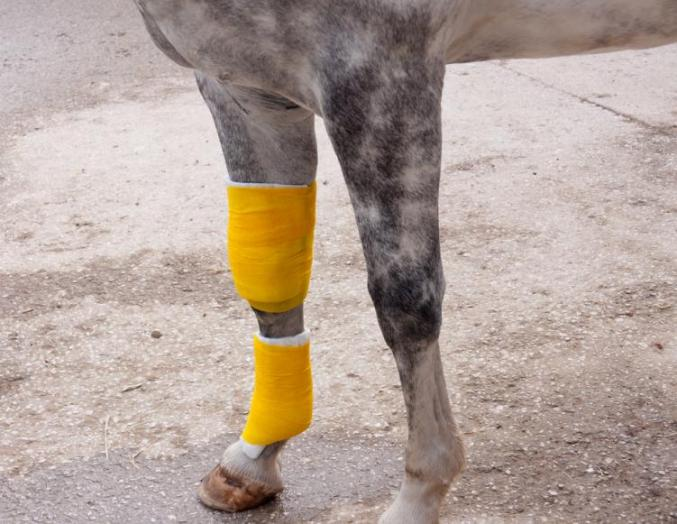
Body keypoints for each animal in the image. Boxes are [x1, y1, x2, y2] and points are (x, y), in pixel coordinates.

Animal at [133, 1, 677, 522]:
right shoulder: (245, 88)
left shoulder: (377, 74)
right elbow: (270, 280)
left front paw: (420, 493)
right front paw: (253, 459)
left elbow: (404, 298)